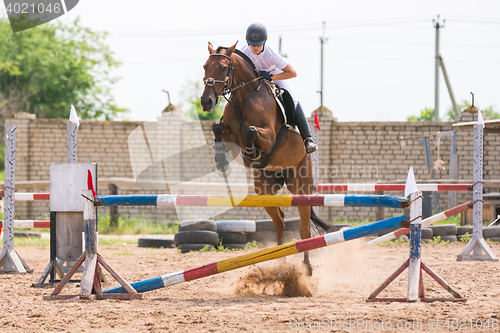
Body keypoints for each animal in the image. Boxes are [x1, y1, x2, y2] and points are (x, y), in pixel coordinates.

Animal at [199, 42, 332, 274]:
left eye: (224, 68)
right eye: (205, 66)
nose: (206, 101)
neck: (243, 99)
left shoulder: (268, 136)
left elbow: (251, 131)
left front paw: (251, 151)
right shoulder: (230, 132)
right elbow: (217, 126)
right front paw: (222, 160)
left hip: (301, 187)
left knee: (305, 230)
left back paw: (307, 268)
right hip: (265, 191)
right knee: (280, 222)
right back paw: (279, 265)